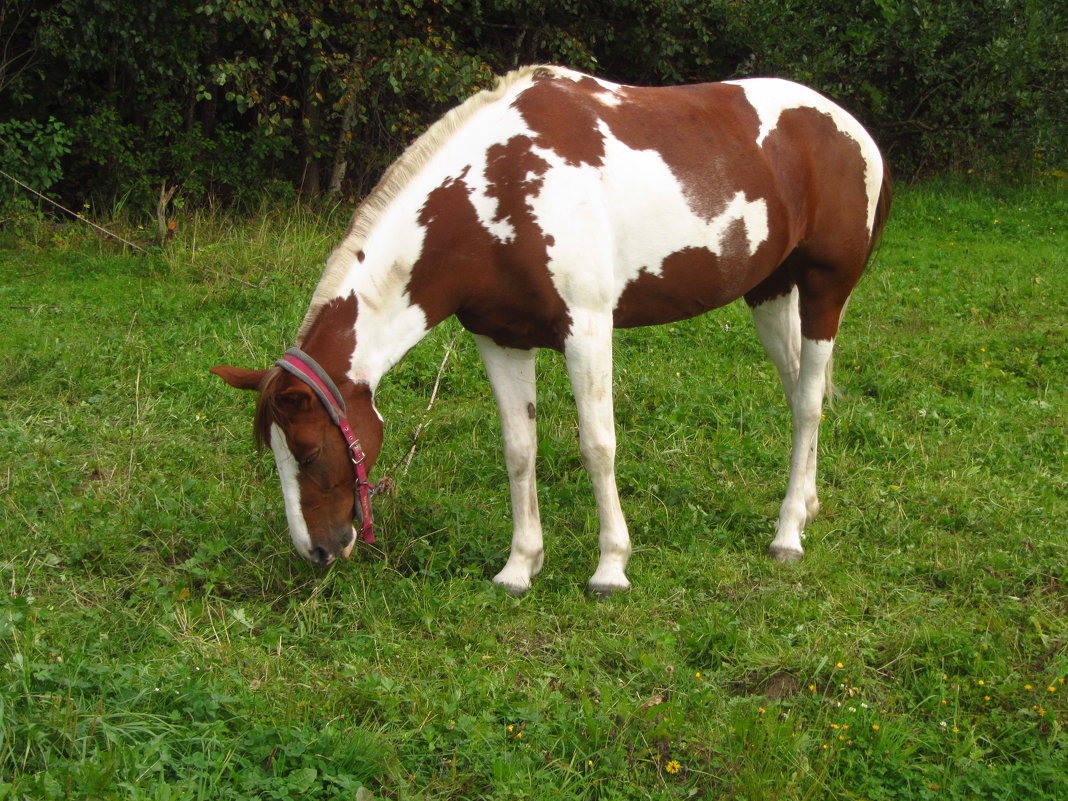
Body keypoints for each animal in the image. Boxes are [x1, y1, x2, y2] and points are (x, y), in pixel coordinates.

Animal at [212, 65, 888, 598]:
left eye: (306, 449)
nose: (318, 552)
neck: (496, 192)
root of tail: (851, 129)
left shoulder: (587, 330)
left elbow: (598, 445)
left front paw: (610, 569)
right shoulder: (501, 338)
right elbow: (519, 450)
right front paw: (519, 567)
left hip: (825, 290)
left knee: (808, 402)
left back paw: (788, 535)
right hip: (770, 293)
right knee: (798, 393)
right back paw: (806, 505)